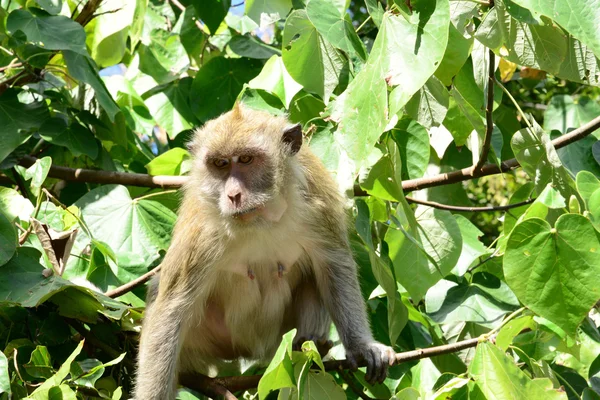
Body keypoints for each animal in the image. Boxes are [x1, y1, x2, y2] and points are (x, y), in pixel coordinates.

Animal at [135, 104, 398, 400]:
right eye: (220, 164)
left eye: (246, 159)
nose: (233, 195)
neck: (261, 217)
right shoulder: (202, 233)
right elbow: (172, 305)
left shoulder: (318, 201)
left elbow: (335, 264)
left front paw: (362, 347)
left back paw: (308, 347)